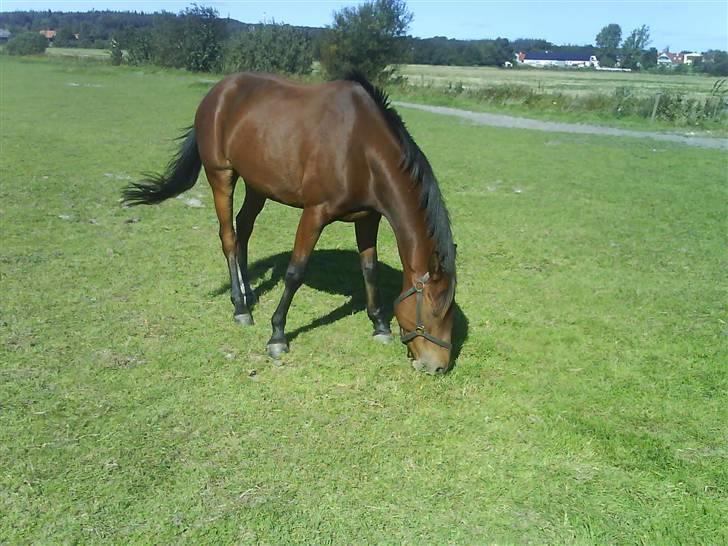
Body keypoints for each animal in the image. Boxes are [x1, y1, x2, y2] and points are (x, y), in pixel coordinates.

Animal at [124, 72, 456, 372]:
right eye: (434, 310)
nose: (438, 366)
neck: (360, 147)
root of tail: (217, 92)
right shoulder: (314, 213)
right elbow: (295, 272)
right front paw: (277, 335)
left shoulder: (367, 218)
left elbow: (370, 270)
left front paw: (379, 325)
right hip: (221, 175)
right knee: (229, 236)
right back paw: (240, 307)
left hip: (257, 183)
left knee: (244, 228)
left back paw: (248, 292)